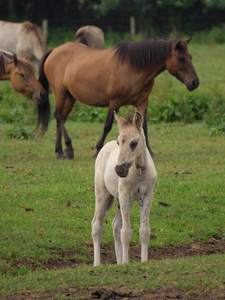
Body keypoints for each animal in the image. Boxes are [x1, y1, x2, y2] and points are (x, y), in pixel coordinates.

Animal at [38, 37, 199, 159]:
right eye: (181, 58)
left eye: (191, 57)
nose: (194, 82)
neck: (133, 67)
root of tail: (54, 51)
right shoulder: (114, 102)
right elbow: (107, 125)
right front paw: (98, 150)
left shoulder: (142, 102)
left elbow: (144, 127)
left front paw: (149, 151)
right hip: (60, 93)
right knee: (59, 116)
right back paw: (67, 149)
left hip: (70, 97)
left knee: (61, 119)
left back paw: (61, 150)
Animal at [91, 111, 156, 266]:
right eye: (119, 142)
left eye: (134, 143)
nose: (119, 170)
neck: (139, 172)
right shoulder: (126, 196)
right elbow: (126, 232)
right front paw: (126, 263)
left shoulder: (147, 196)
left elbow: (144, 231)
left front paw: (143, 261)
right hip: (103, 195)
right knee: (97, 225)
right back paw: (97, 264)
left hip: (119, 200)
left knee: (115, 225)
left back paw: (119, 262)